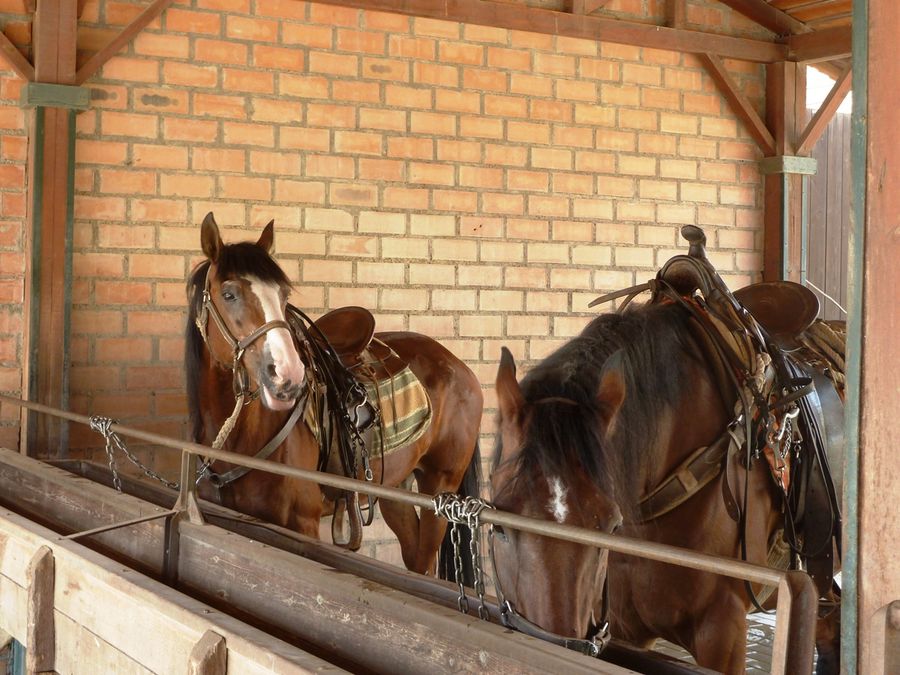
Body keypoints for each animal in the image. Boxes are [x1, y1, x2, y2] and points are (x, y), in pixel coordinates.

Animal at [185, 214, 486, 580]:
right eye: (229, 294)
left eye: (283, 295)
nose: (288, 375)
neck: (240, 441)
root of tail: (459, 367)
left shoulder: (302, 524)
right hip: (396, 488)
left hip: (438, 488)